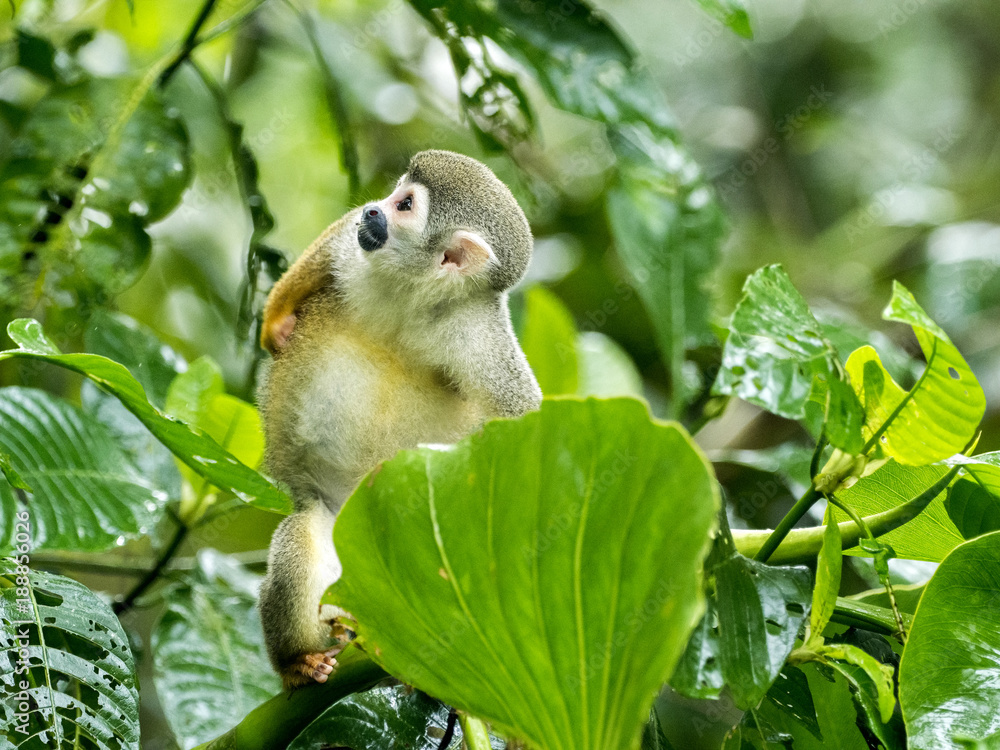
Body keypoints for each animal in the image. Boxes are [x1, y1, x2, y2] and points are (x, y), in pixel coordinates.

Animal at [256, 150, 542, 690]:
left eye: (404, 205)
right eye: (394, 194)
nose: (373, 209)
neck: (416, 295)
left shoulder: (481, 336)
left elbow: (531, 430)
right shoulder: (356, 251)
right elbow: (332, 245)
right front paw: (275, 321)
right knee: (300, 538)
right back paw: (298, 661)